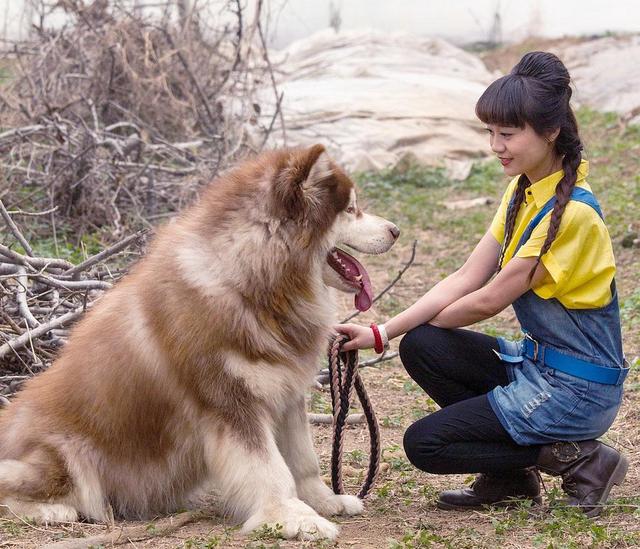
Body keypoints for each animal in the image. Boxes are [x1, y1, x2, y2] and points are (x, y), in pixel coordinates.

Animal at [0, 144, 398, 540]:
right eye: (351, 209)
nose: (396, 230)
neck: (253, 285)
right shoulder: (231, 402)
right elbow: (269, 468)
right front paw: (291, 516)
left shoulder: (285, 393)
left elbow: (303, 461)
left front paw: (324, 501)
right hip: (64, 454)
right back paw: (54, 510)